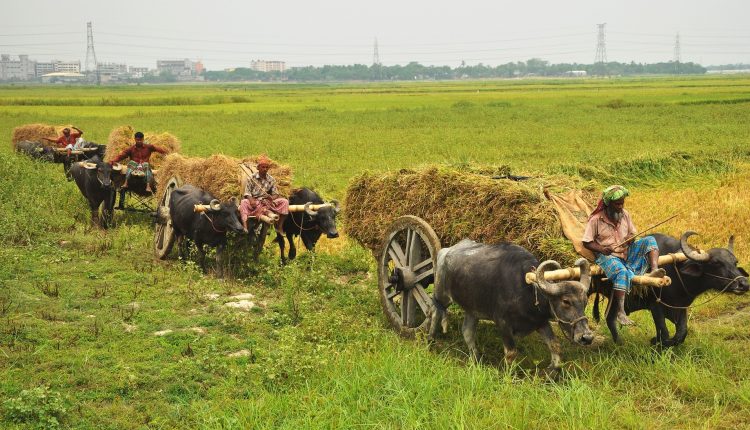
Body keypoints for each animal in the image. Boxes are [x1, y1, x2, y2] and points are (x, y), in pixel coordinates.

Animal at [432, 240, 596, 372]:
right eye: (566, 301)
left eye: (584, 302)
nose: (586, 337)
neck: (528, 290)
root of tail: (445, 251)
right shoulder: (503, 324)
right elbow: (511, 353)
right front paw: (508, 375)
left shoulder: (541, 322)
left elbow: (555, 345)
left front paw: (552, 371)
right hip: (441, 295)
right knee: (435, 312)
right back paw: (431, 340)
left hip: (472, 309)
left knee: (467, 331)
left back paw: (476, 359)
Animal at [596, 232, 748, 346]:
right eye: (716, 263)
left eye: (735, 262)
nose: (744, 284)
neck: (677, 271)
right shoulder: (655, 306)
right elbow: (665, 332)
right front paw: (656, 342)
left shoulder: (681, 306)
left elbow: (681, 333)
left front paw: (660, 341)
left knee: (610, 318)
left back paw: (620, 343)